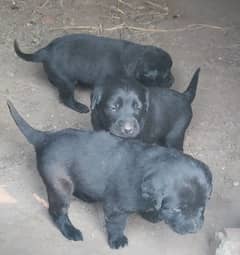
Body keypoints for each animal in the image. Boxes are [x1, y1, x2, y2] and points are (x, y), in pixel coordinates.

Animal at [7, 100, 212, 249]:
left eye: (202, 208)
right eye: (177, 209)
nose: (194, 229)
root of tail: (45, 137)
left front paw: (151, 214)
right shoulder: (116, 207)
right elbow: (117, 224)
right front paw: (117, 240)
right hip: (60, 186)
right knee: (57, 211)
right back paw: (70, 231)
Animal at [14, 33, 173, 112]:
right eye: (165, 75)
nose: (173, 80)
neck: (135, 60)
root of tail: (45, 51)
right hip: (67, 83)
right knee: (66, 99)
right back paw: (80, 107)